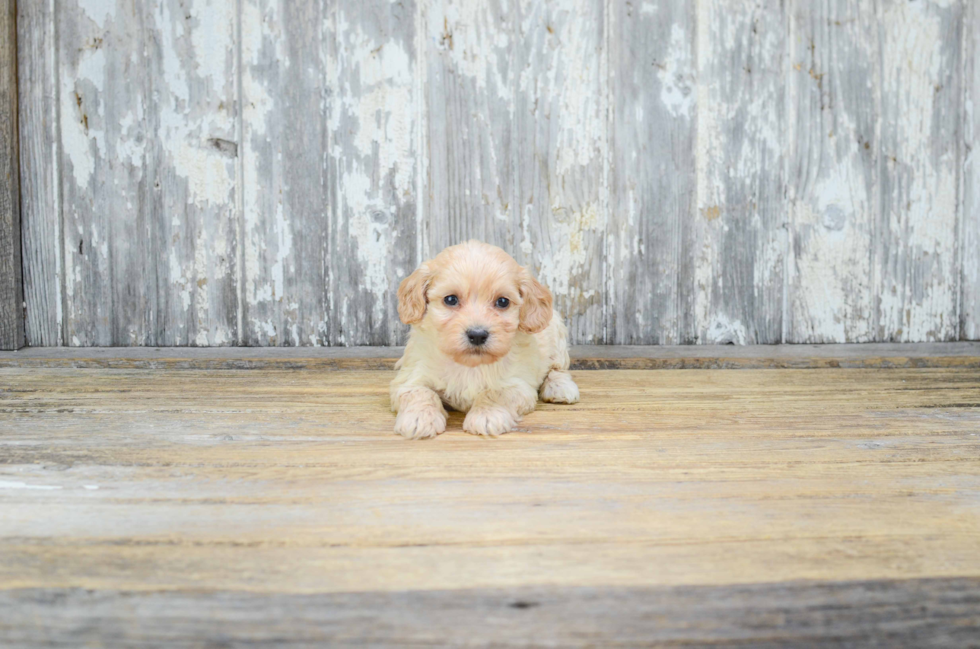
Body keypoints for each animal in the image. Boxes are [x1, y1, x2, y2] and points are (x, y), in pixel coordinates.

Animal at [388, 240, 580, 438]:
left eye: (502, 302)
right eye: (450, 299)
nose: (477, 335)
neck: (470, 365)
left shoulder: (518, 384)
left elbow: (496, 393)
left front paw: (486, 415)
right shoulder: (411, 375)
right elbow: (419, 392)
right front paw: (419, 418)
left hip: (556, 335)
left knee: (557, 369)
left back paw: (560, 387)